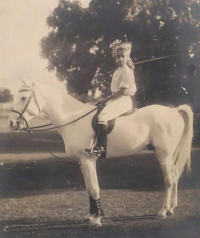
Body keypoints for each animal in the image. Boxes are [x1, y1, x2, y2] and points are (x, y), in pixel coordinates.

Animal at [8, 81, 193, 228]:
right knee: (175, 176)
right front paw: (90, 216)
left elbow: (95, 188)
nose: (11, 123)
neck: (72, 119)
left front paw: (97, 219)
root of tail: (174, 111)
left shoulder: (88, 160)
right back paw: (171, 209)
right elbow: (88, 189)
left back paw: (162, 211)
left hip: (163, 154)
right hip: (167, 155)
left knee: (169, 180)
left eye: (23, 98)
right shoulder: (81, 162)